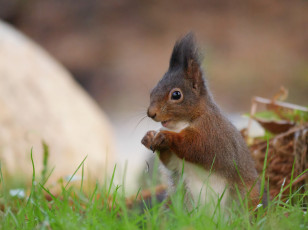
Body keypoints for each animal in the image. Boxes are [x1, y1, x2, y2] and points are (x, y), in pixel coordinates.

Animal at [141, 33, 260, 211]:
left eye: (176, 95)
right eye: (152, 91)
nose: (151, 113)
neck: (182, 124)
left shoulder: (215, 135)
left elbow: (198, 147)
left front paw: (166, 137)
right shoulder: (176, 163)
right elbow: (171, 162)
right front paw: (149, 137)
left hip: (244, 198)